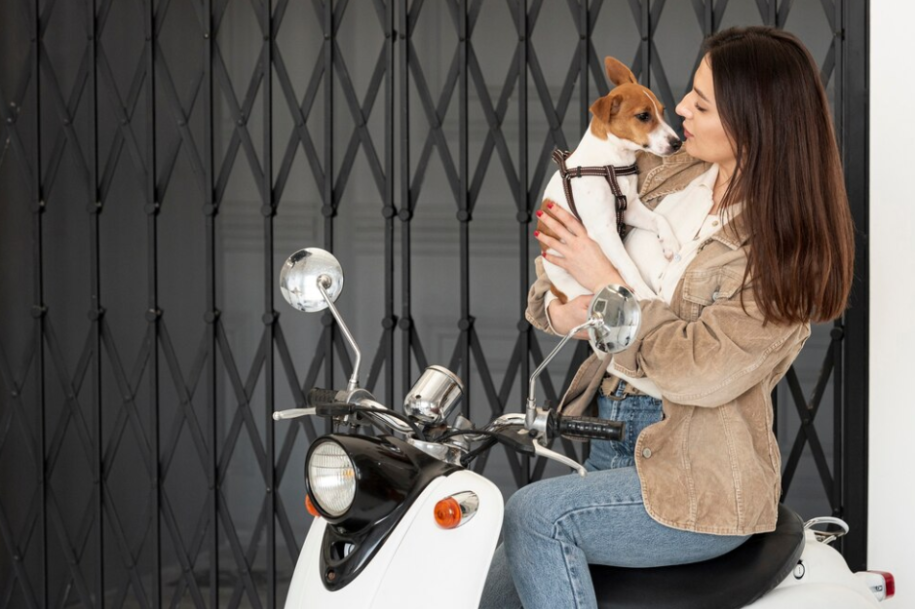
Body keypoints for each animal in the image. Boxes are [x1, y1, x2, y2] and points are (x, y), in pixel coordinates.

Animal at [540, 57, 684, 304]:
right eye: (644, 116)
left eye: (662, 111)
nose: (677, 143)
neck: (612, 166)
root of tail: (559, 292)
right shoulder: (603, 228)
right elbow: (628, 265)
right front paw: (644, 294)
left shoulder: (630, 209)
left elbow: (660, 218)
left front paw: (669, 242)